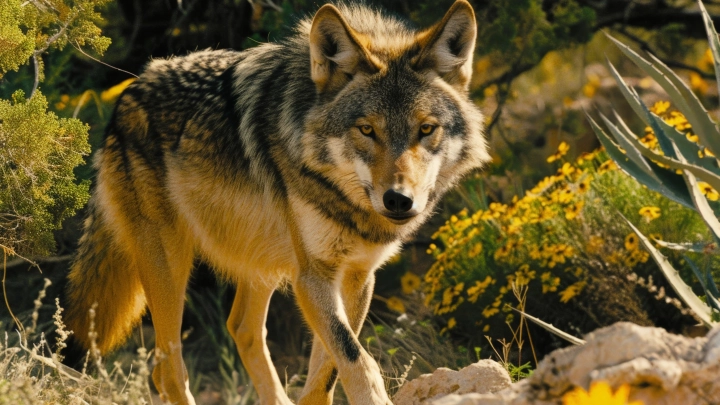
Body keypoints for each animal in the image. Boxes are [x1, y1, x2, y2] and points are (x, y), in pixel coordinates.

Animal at [64, 1, 488, 404]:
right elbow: (355, 356)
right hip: (171, 266)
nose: (399, 200)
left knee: (240, 328)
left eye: (426, 129)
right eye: (367, 130)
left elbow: (330, 367)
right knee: (167, 371)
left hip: (260, 262)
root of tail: (128, 92)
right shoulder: (313, 274)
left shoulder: (356, 276)